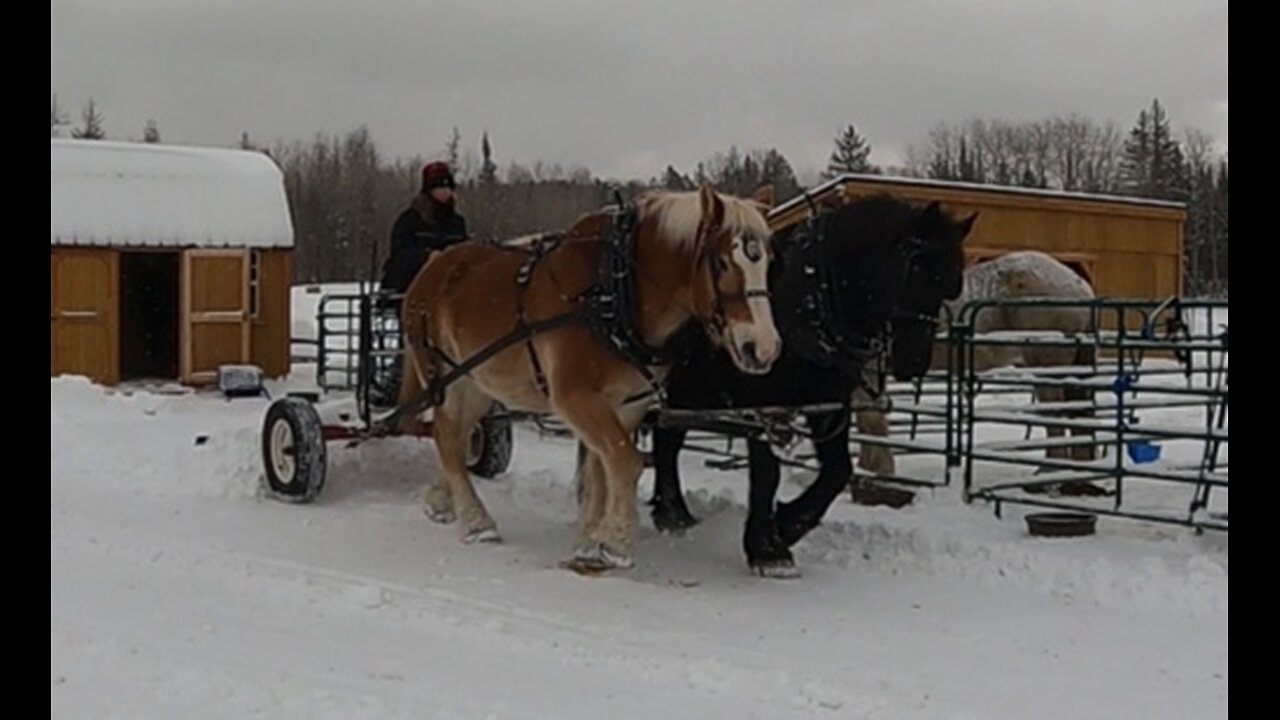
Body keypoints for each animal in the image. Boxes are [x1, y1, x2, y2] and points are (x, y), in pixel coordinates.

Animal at [396, 184, 778, 571]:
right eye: (722, 263)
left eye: (768, 262)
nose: (763, 348)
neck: (614, 294)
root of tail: (431, 267)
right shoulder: (575, 397)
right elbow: (625, 462)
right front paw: (617, 543)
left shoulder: (628, 404)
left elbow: (601, 471)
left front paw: (589, 540)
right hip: (447, 378)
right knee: (446, 437)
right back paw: (477, 523)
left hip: (477, 383)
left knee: (456, 438)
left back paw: (440, 501)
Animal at [645, 193, 972, 573]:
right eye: (916, 269)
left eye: (950, 284)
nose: (915, 361)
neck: (810, 299)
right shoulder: (764, 403)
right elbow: (767, 473)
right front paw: (766, 548)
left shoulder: (828, 404)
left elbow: (838, 470)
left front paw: (788, 526)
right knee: (665, 439)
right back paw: (672, 512)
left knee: (667, 438)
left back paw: (673, 514)